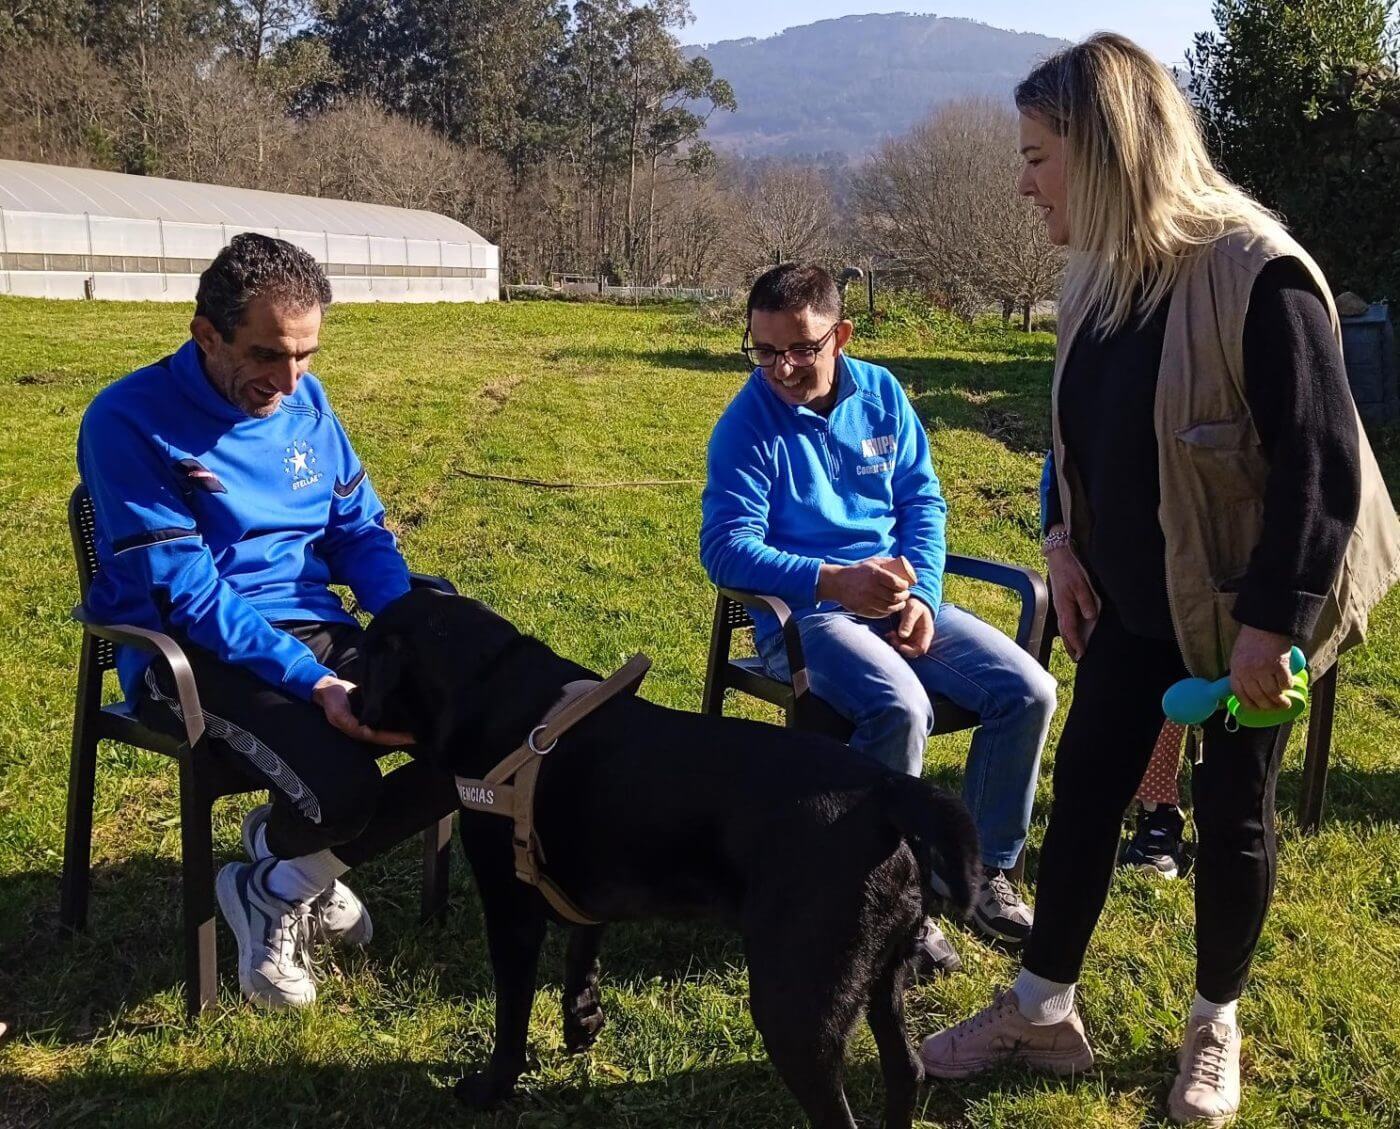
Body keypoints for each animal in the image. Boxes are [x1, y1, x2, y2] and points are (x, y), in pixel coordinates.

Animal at [355, 591, 980, 1129]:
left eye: (361, 655)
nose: (347, 695)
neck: (494, 688)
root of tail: (884, 789)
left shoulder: (511, 911)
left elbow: (512, 1015)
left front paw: (491, 1088)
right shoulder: (589, 889)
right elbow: (582, 955)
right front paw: (582, 1023)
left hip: (797, 1005)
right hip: (883, 975)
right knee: (906, 1072)